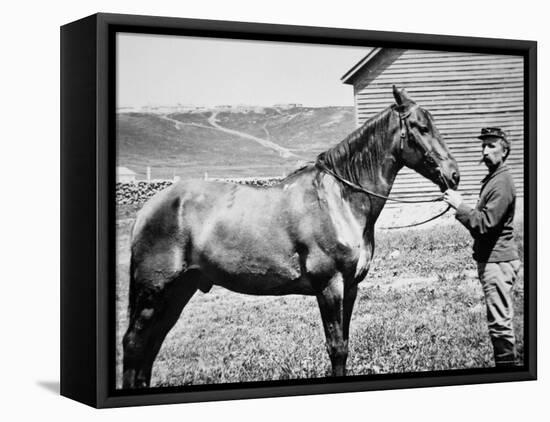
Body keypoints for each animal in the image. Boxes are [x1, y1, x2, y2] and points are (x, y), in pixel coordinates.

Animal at [122, 86, 462, 390]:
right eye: (421, 127)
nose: (454, 175)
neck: (338, 199)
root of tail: (149, 208)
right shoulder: (330, 286)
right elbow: (336, 347)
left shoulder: (350, 288)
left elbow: (345, 342)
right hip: (155, 292)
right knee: (134, 344)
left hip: (179, 291)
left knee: (151, 346)